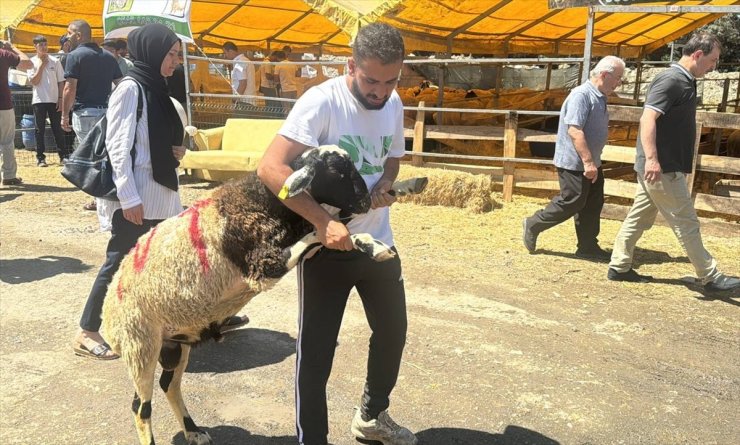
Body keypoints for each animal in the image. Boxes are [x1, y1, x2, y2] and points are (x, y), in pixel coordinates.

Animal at [102, 146, 390, 444]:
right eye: (335, 170)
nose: (365, 201)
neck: (267, 202)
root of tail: (107, 310)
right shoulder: (263, 265)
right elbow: (318, 234)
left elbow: (327, 234)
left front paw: (375, 247)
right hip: (140, 346)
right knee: (141, 407)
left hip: (174, 343)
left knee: (168, 385)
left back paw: (194, 432)